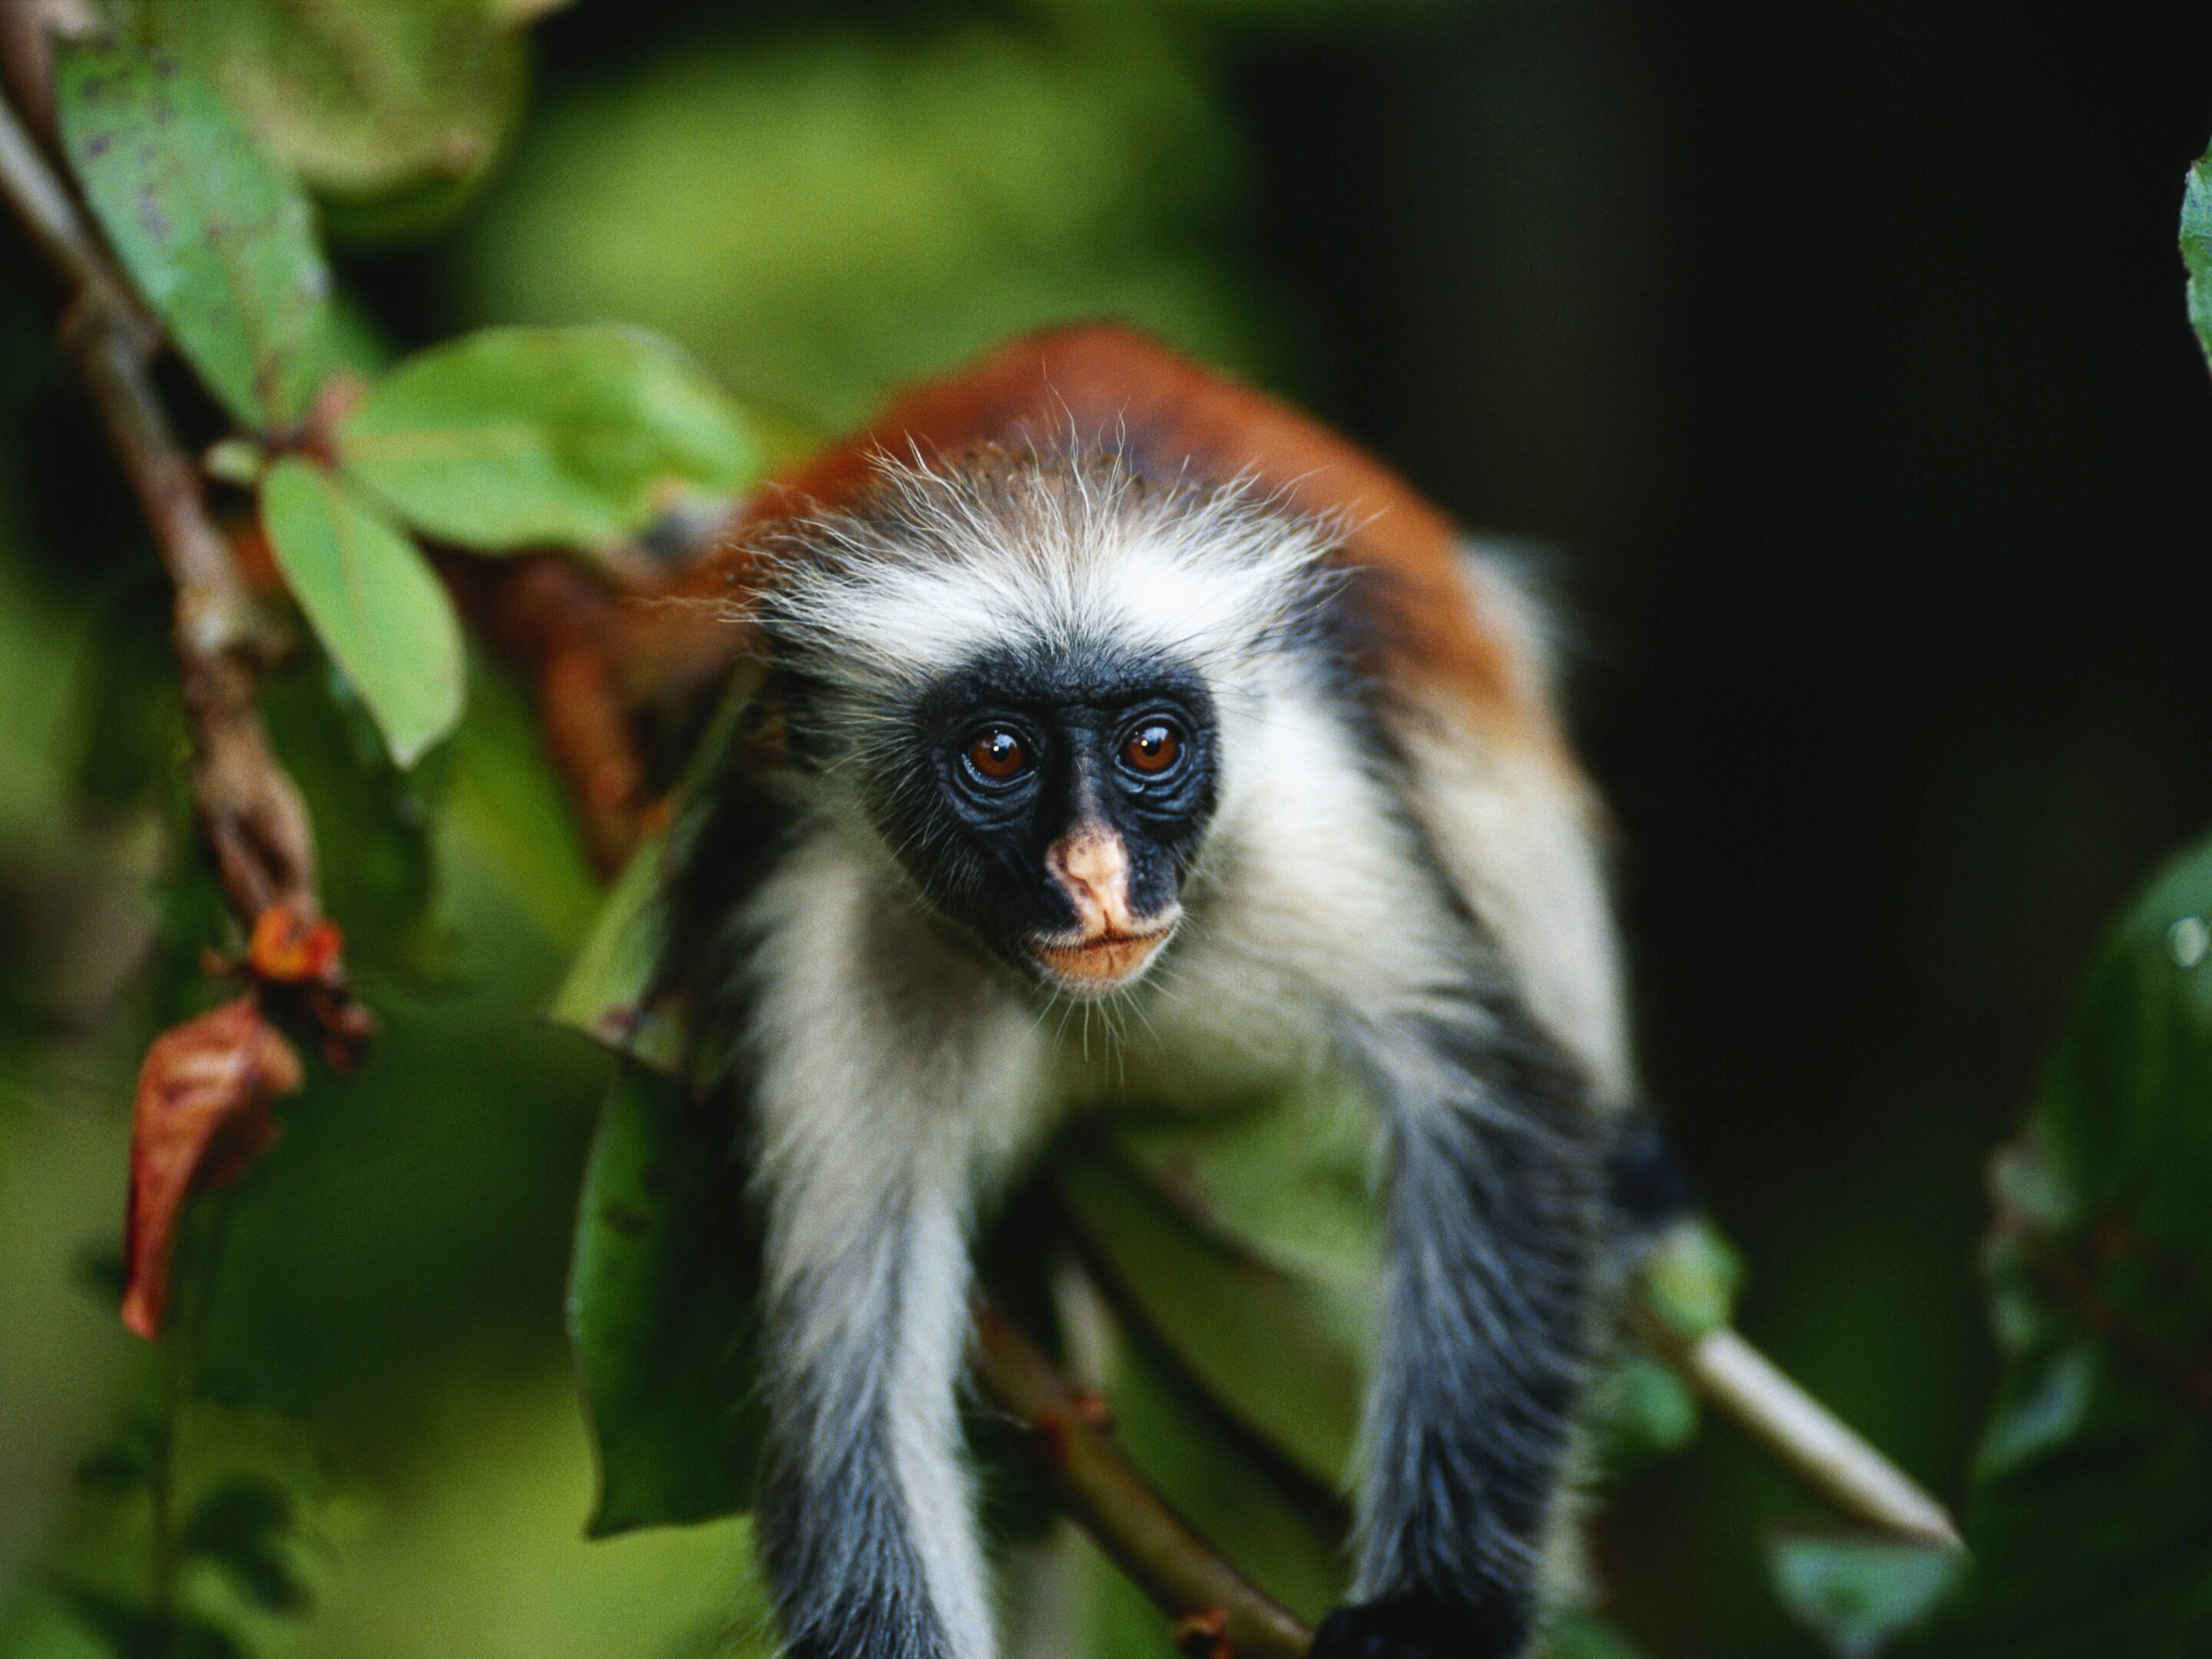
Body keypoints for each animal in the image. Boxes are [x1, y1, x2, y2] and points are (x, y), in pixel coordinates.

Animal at [657, 324, 1641, 1659]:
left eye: (1152, 747)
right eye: (999, 755)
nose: (1096, 875)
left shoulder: (1303, 810)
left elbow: (1494, 1099)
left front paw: (1432, 1614)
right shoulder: (835, 925)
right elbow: (848, 1361)